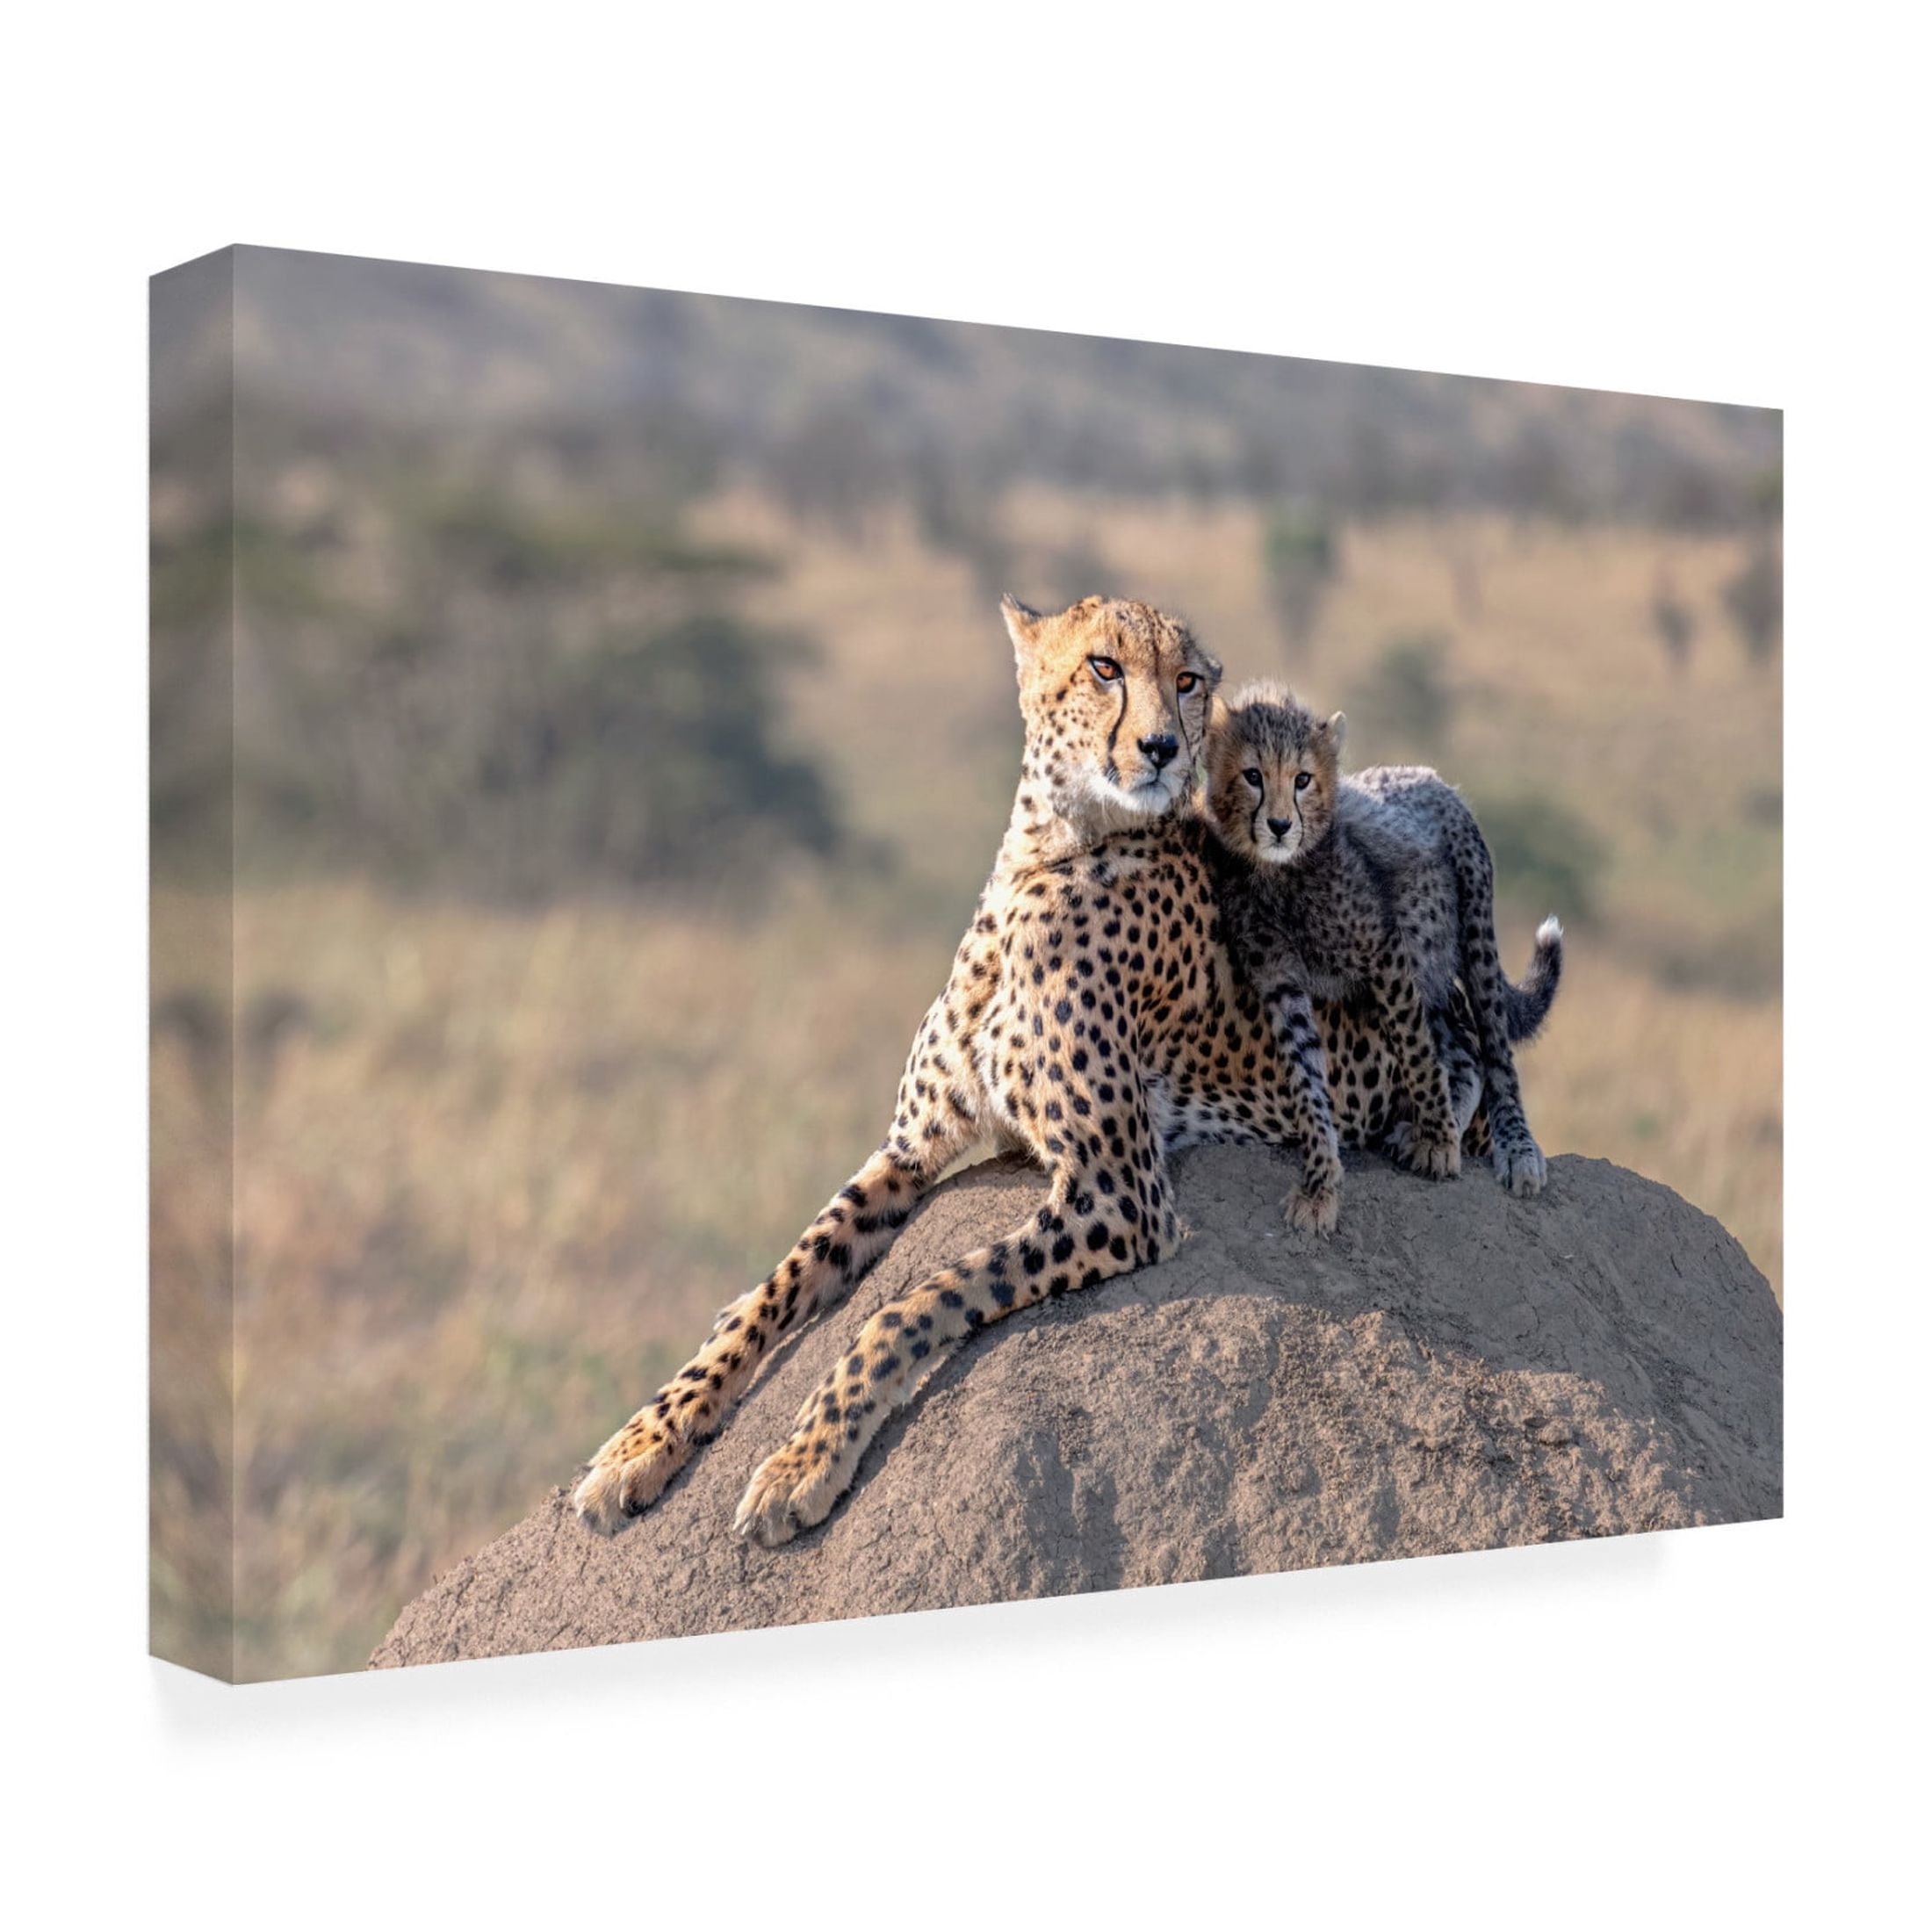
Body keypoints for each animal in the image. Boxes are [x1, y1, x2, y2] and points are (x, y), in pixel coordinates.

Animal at [571, 595, 1432, 1547]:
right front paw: (645, 1438)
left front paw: (803, 1462)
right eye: (1103, 667)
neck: (1050, 851)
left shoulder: (1121, 1192)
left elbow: (915, 1299)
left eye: (1187, 680)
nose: (1163, 748)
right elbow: (783, 1281)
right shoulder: (908, 1150)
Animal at [1203, 680, 1563, 1232]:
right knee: (1461, 1047)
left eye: (1303, 779)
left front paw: (1439, 1142)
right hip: (1425, 969)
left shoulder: (1384, 953)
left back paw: (1513, 1149)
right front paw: (1320, 1187)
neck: (1280, 873)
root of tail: (1427, 774)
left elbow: (1416, 1055)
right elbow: (1308, 1083)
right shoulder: (1280, 982)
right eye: (1253, 776)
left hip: (1470, 932)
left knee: (1494, 1047)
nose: (1280, 825)